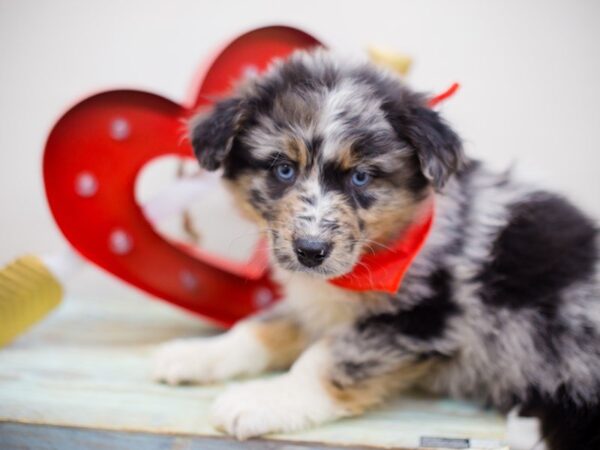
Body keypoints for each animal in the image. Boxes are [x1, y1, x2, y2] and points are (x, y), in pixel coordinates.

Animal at [151, 50, 600, 450]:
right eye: (283, 169)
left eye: (361, 177)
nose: (310, 251)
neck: (377, 256)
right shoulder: (319, 302)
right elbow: (264, 326)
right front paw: (196, 355)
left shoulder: (422, 318)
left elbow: (330, 357)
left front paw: (264, 400)